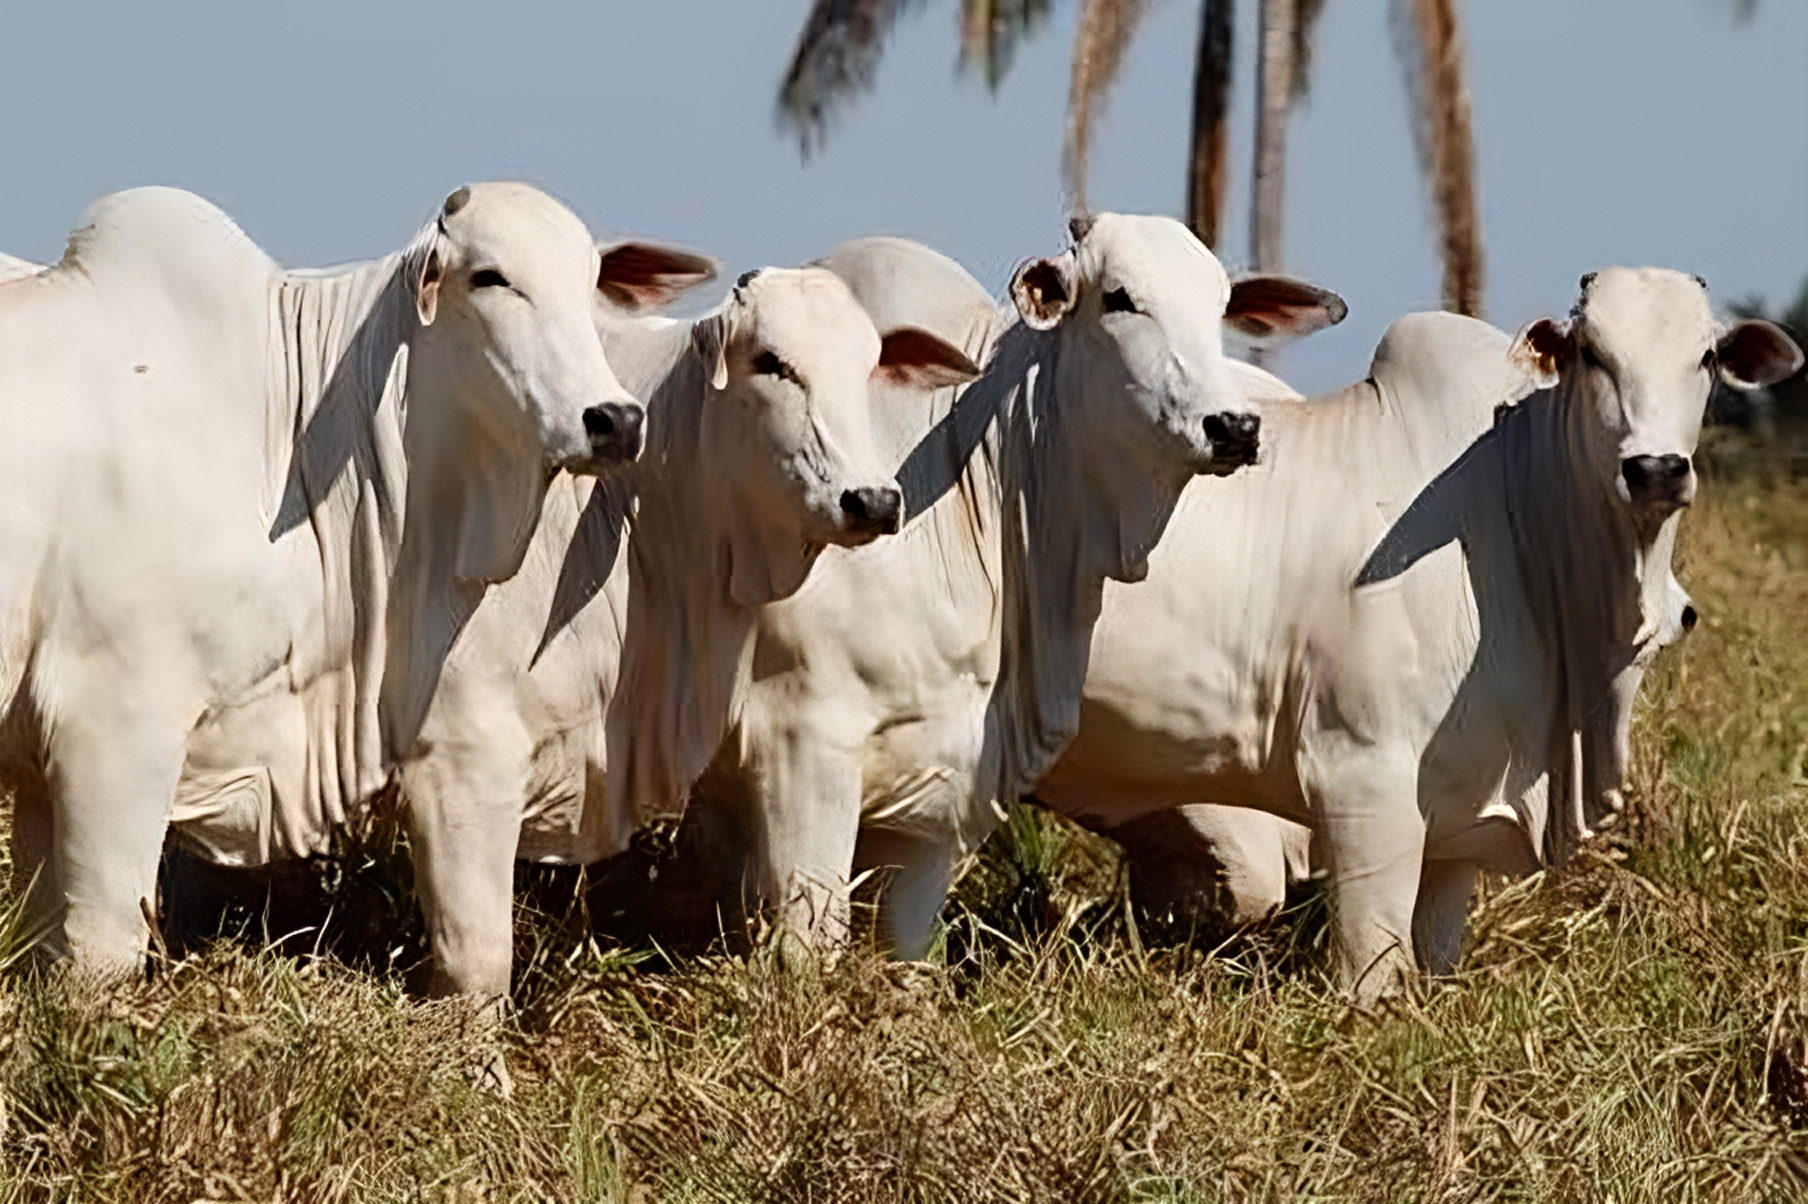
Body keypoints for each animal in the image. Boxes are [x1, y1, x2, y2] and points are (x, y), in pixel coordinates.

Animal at [0, 185, 650, 976]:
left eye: (592, 283)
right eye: (489, 277)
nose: (615, 419)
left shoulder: (38, 764)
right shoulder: (113, 718)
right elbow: (99, 948)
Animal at [1041, 274, 1800, 990]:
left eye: (1707, 356)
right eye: (1592, 353)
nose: (1656, 470)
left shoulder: (1456, 825)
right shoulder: (1362, 783)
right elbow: (1373, 971)